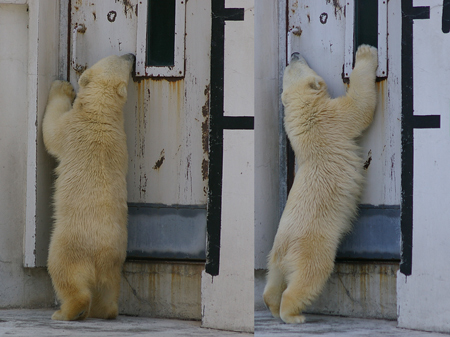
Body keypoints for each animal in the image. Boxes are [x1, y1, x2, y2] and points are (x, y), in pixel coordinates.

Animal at [43, 53, 135, 318]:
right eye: (125, 60)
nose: (133, 55)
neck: (100, 114)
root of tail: (99, 257)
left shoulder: (70, 129)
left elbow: (50, 130)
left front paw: (62, 86)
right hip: (114, 265)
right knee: (107, 292)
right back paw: (105, 311)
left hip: (68, 248)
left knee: (65, 275)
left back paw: (65, 312)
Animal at [262, 45, 378, 322]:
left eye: (290, 66)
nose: (293, 53)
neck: (306, 117)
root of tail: (284, 248)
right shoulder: (334, 119)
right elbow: (360, 106)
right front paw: (365, 53)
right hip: (312, 245)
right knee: (310, 275)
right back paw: (293, 314)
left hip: (275, 254)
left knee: (273, 278)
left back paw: (271, 303)